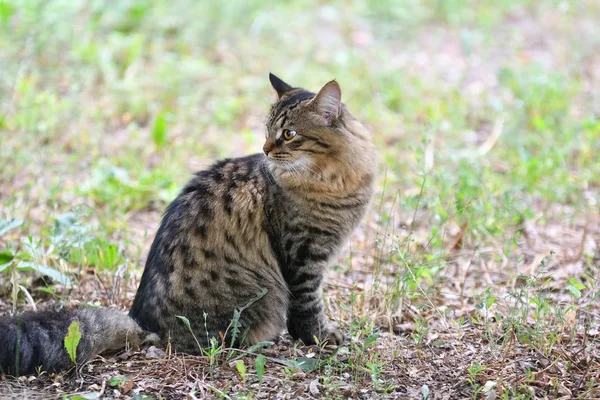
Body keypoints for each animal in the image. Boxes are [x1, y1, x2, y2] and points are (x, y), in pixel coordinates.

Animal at [0, 73, 376, 376]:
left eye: (289, 133)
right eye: (269, 131)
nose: (266, 149)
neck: (335, 177)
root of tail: (141, 321)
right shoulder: (302, 256)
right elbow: (308, 305)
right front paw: (318, 337)